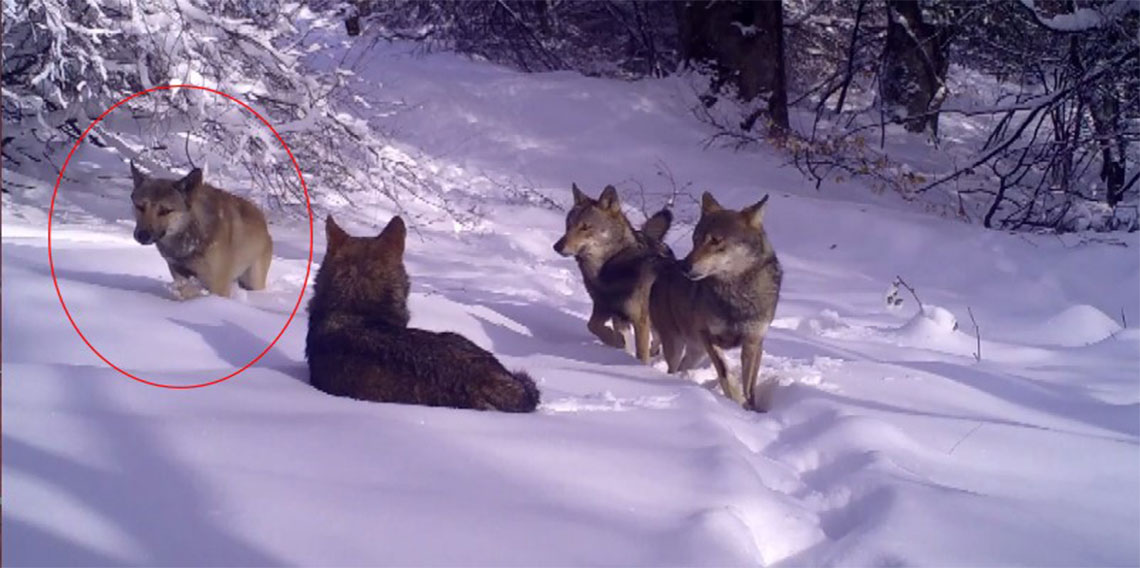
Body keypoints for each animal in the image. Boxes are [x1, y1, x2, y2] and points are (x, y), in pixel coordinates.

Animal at [129, 161, 273, 298]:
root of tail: (264, 223)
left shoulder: (218, 285)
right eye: (140, 206)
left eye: (165, 211)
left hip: (253, 281)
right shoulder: (180, 275)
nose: (142, 235)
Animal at [554, 184, 670, 364]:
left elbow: (641, 354)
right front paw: (616, 342)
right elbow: (592, 326)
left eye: (585, 227)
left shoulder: (640, 321)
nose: (557, 246)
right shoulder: (605, 309)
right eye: (568, 225)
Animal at [652, 192, 784, 410]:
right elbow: (725, 371)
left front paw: (751, 408)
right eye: (695, 240)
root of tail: (665, 268)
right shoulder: (708, 335)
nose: (685, 267)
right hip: (677, 344)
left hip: (696, 352)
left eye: (715, 241)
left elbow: (750, 386)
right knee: (672, 367)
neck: (737, 295)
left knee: (682, 367)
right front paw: (736, 402)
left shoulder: (754, 341)